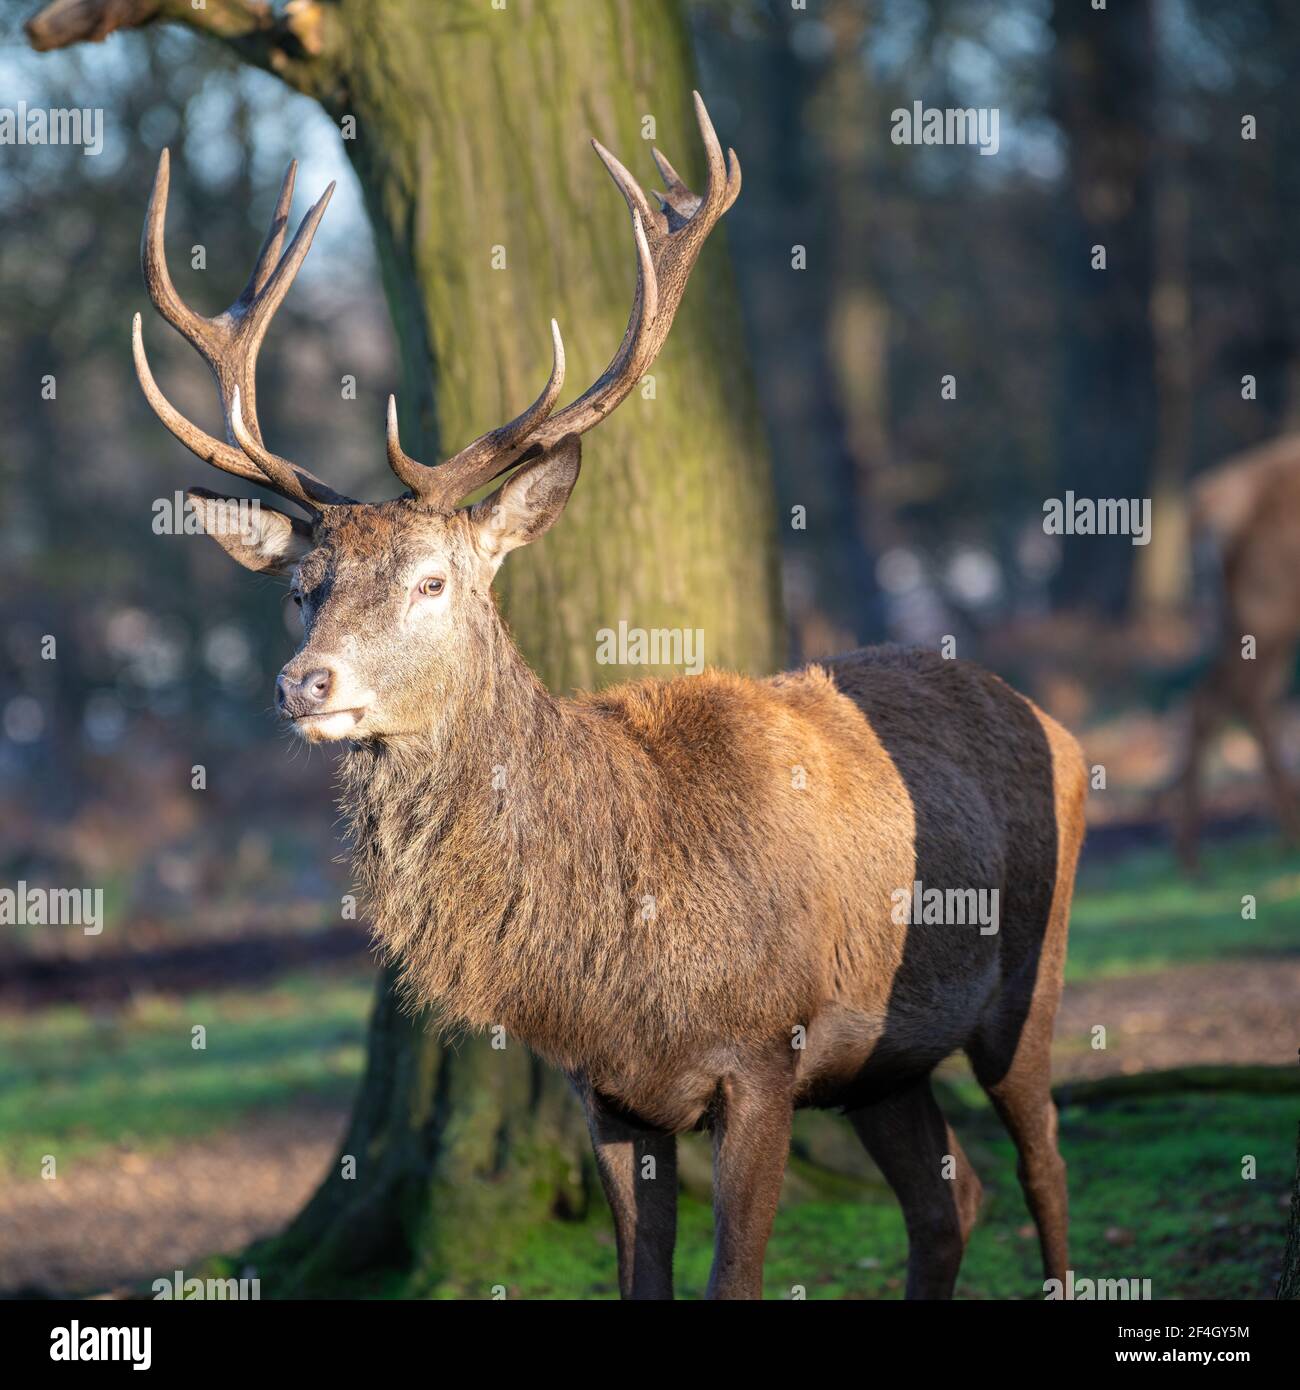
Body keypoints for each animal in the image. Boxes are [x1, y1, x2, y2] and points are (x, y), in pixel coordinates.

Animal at [131, 95, 1087, 1301]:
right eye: (304, 588)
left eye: (433, 580)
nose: (304, 681)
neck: (622, 943)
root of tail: (1057, 726)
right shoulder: (612, 1090)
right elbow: (642, 1277)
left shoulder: (764, 1053)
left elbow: (735, 1279)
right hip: (883, 1062)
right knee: (946, 1198)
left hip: (1026, 977)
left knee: (1044, 1163)